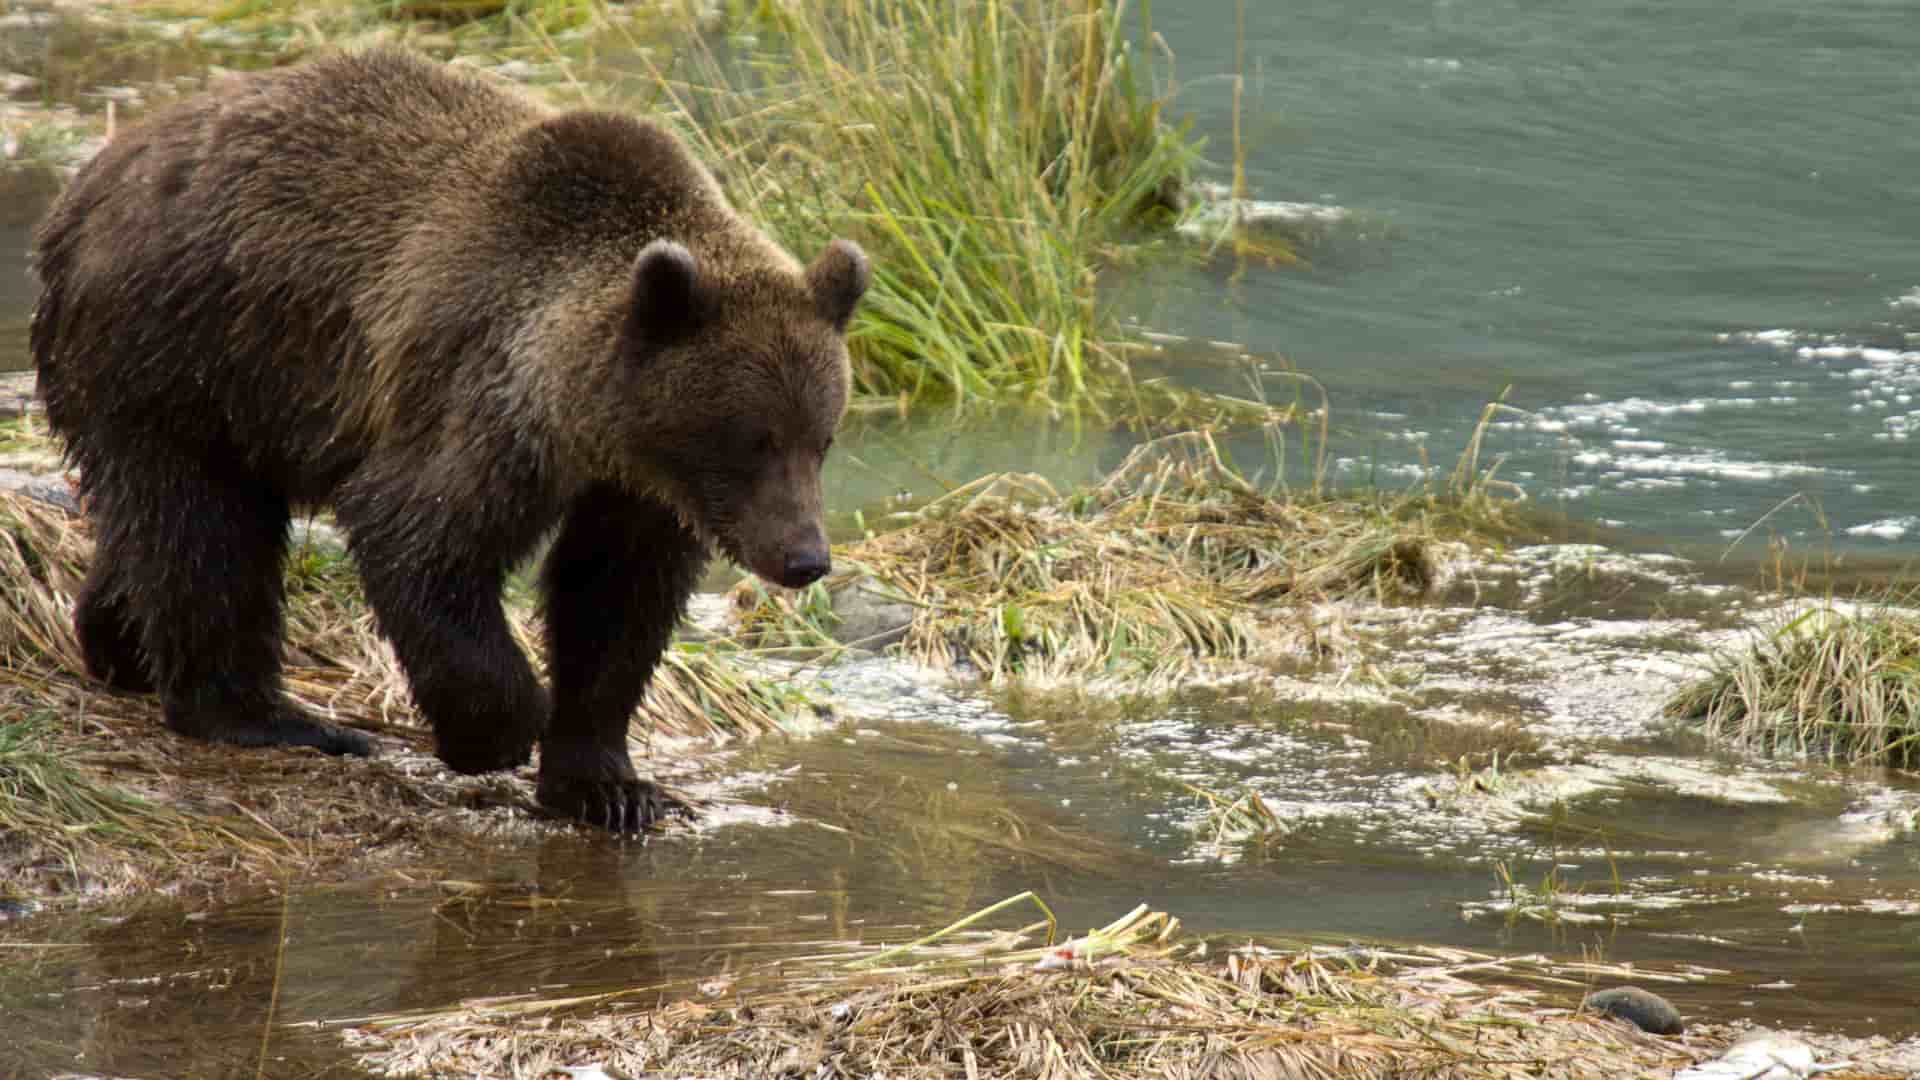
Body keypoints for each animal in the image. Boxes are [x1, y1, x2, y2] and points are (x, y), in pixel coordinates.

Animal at [29, 47, 868, 832]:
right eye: (751, 439)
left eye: (821, 438)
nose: (804, 557)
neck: (591, 420)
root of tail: (85, 187)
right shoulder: (483, 397)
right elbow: (419, 534)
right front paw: (494, 732)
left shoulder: (636, 490)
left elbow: (614, 602)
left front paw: (609, 786)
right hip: (184, 347)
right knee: (204, 529)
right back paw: (268, 718)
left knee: (162, 525)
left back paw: (118, 642)